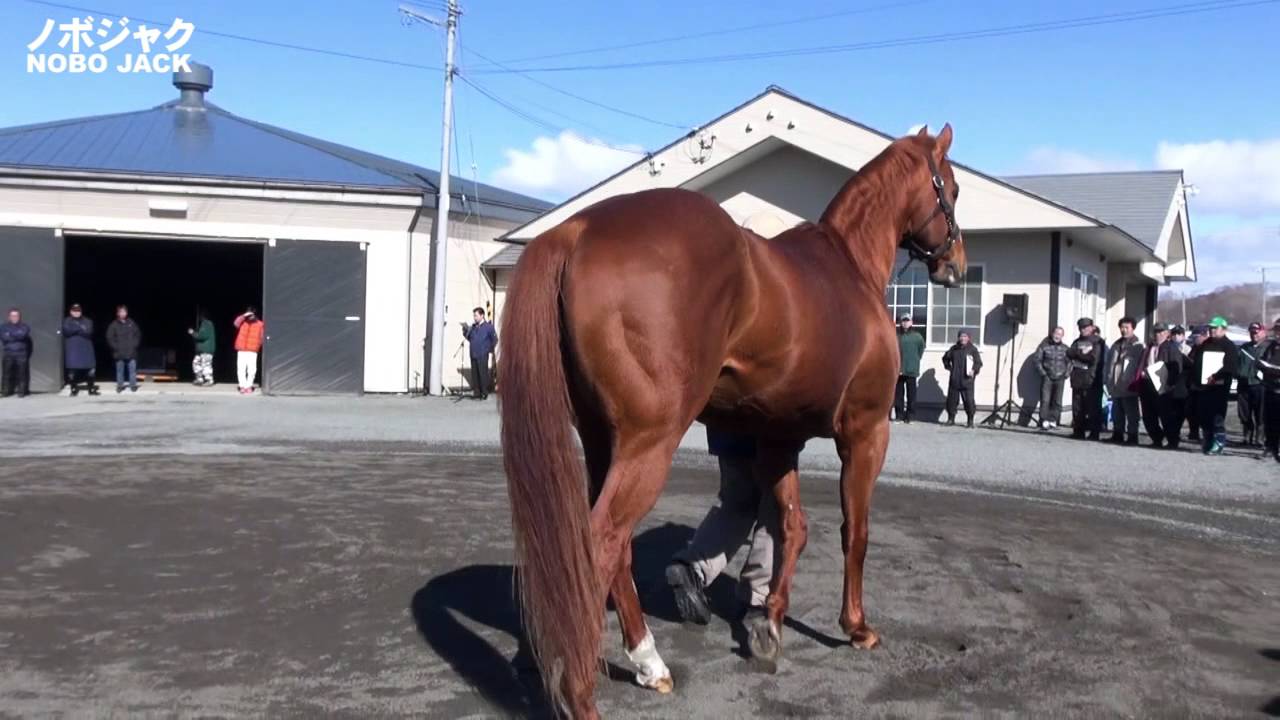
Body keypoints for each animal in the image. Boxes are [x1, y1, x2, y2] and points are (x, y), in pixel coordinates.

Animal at [499, 124, 966, 719]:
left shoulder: (778, 438)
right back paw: (580, 694)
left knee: (616, 548)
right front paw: (856, 626)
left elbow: (792, 528)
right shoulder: (865, 434)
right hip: (649, 444)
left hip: (605, 443)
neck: (850, 268)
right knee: (601, 542)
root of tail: (577, 229)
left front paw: (769, 624)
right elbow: (854, 532)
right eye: (951, 187)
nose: (956, 264)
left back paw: (648, 663)